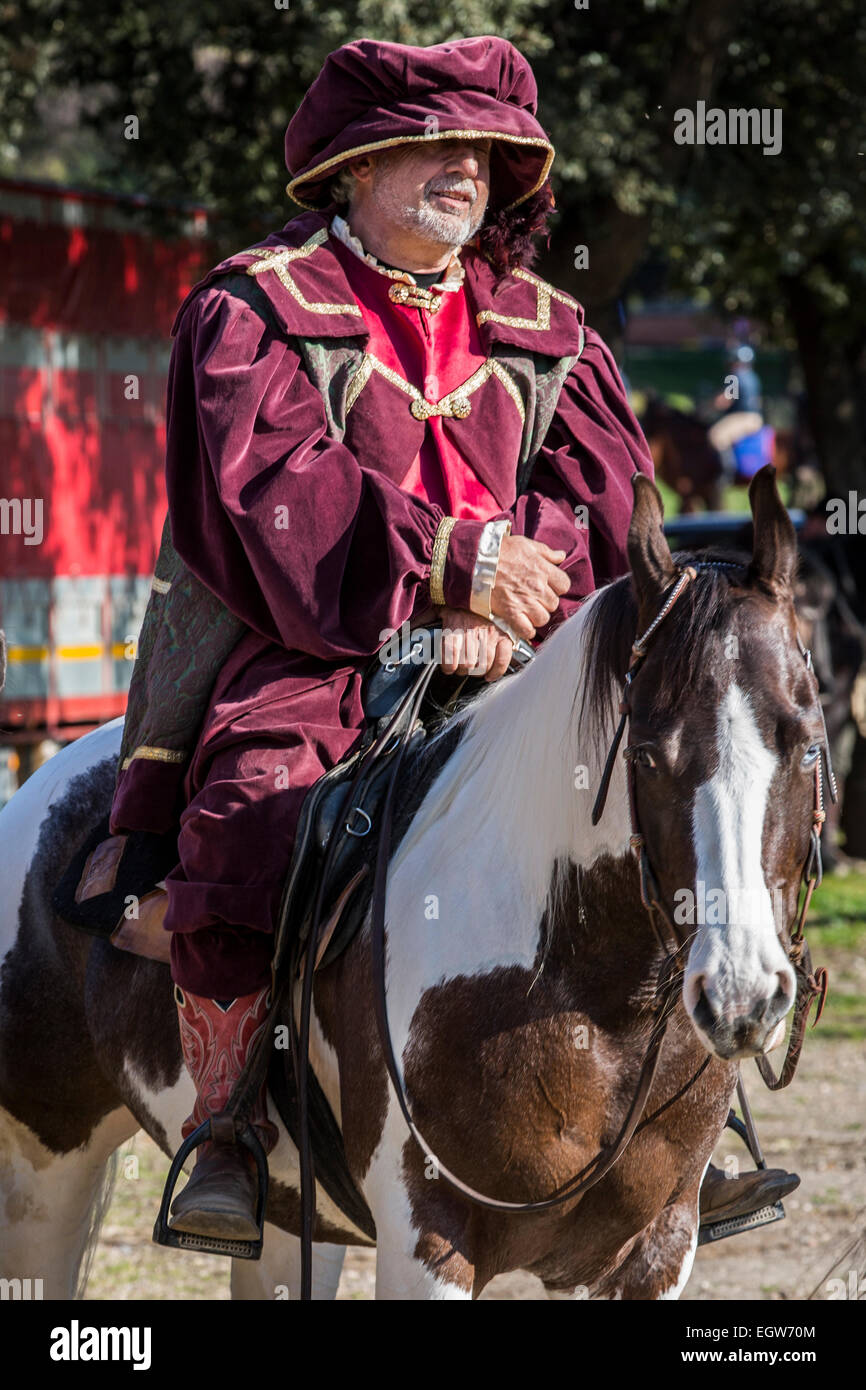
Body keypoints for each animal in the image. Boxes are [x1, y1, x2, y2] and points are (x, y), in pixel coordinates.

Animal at [0, 469, 822, 1301]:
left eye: (807, 743)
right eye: (648, 754)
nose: (743, 996)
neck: (586, 996)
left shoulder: (651, 1250)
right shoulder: (428, 1242)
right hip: (39, 1184)